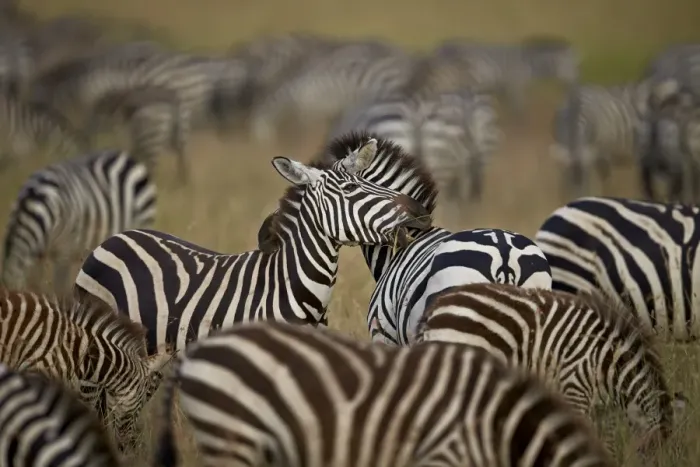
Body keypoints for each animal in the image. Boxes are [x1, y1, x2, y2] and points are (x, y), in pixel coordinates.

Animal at [415, 282, 688, 456]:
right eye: (649, 456)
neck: (609, 363)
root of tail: (435, 308)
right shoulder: (575, 387)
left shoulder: (605, 409)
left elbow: (608, 444)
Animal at [434, 36, 579, 117]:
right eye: (570, 67)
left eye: (575, 67)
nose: (574, 85)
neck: (529, 62)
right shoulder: (515, 87)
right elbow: (519, 111)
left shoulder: (503, 87)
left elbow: (509, 110)